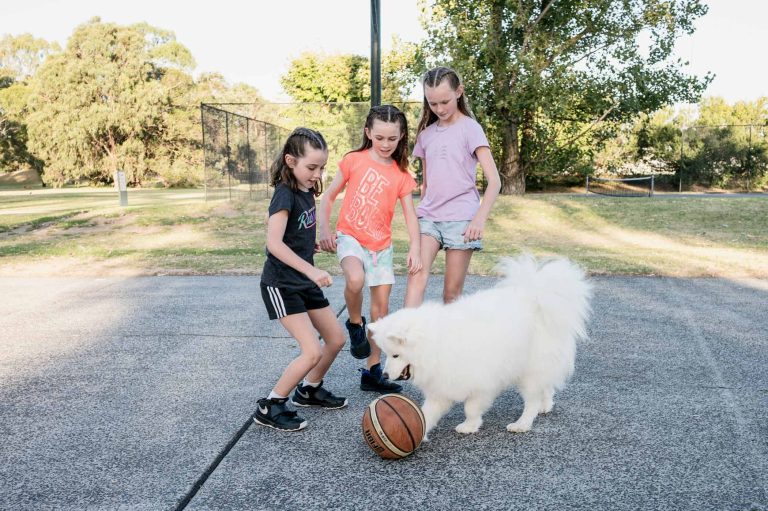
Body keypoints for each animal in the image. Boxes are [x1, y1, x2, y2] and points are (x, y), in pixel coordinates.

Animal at [368, 254, 591, 437]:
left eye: (395, 355)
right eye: (387, 354)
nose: (384, 375)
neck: (434, 345)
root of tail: (534, 298)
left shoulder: (481, 382)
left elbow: (471, 408)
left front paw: (469, 426)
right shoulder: (442, 386)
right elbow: (427, 413)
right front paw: (419, 432)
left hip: (529, 370)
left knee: (532, 400)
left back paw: (522, 424)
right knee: (546, 387)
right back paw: (545, 406)